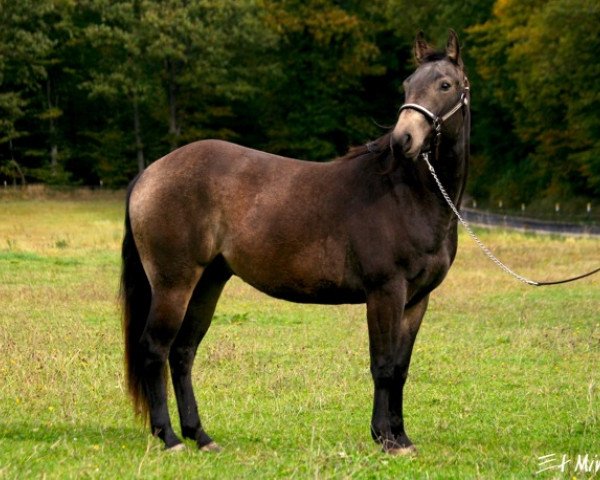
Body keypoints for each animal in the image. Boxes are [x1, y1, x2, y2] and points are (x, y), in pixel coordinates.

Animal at [119, 30, 472, 454]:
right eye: (407, 84)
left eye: (445, 85)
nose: (404, 139)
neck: (406, 192)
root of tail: (150, 173)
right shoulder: (385, 292)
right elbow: (383, 365)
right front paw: (384, 438)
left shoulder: (416, 300)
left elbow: (400, 368)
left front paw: (400, 437)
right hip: (174, 284)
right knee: (155, 349)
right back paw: (170, 437)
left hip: (208, 283)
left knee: (183, 352)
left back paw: (200, 435)